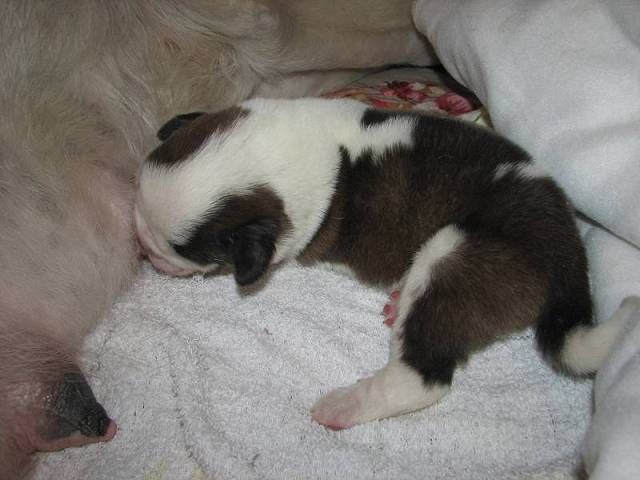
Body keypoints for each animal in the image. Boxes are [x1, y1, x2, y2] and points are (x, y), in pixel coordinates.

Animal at [135, 97, 626, 430]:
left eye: (180, 248)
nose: (142, 244)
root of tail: (566, 243)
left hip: (455, 256)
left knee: (423, 377)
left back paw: (344, 405)